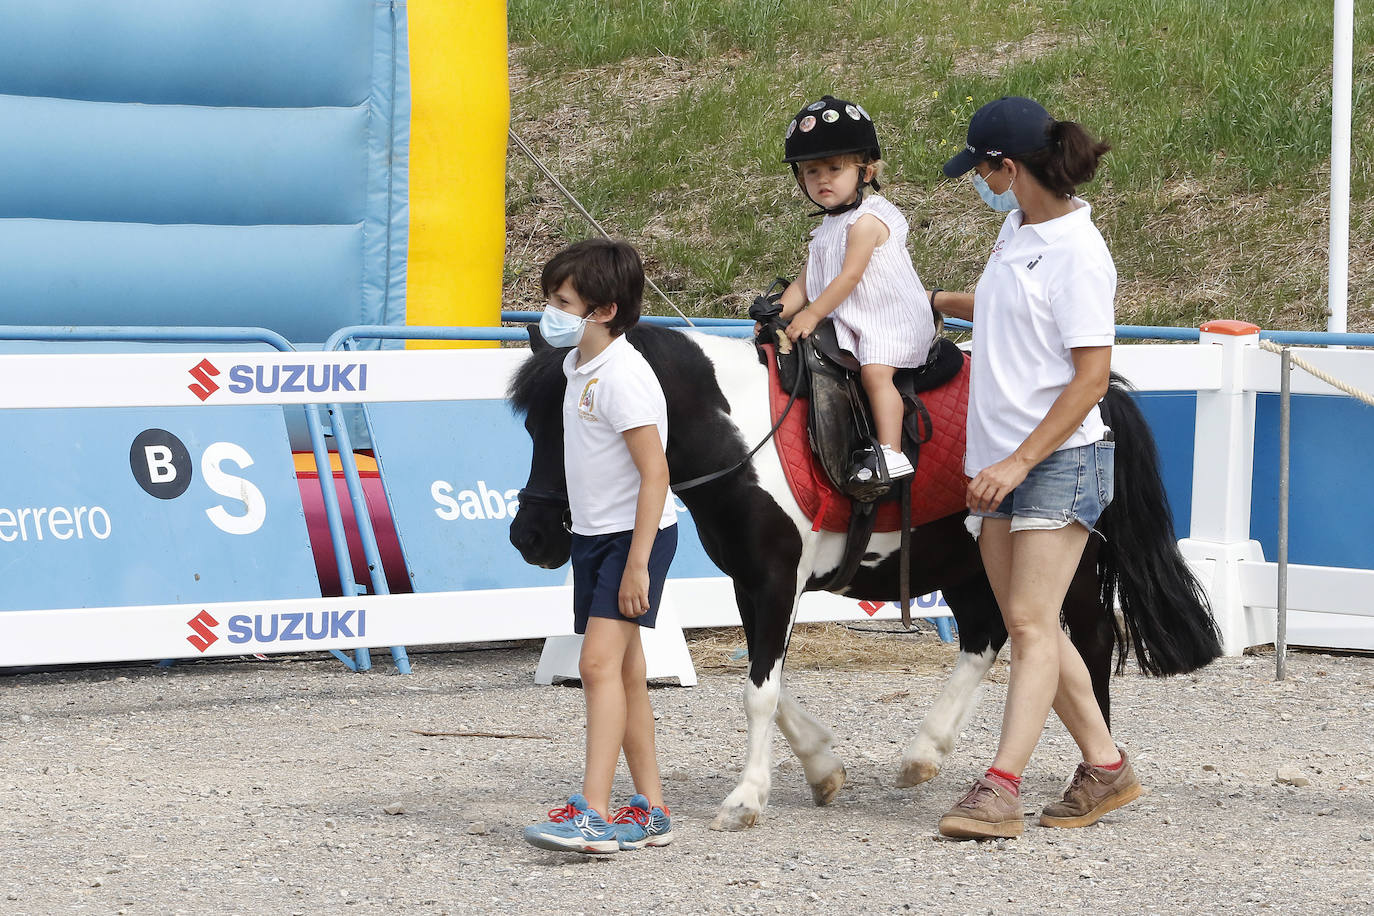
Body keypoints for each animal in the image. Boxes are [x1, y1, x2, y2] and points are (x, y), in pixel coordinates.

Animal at [511, 325, 1220, 834]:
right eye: (531, 425)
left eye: (585, 422)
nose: (531, 537)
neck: (743, 437)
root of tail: (1103, 399)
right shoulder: (754, 582)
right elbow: (770, 683)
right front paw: (822, 766)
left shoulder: (775, 580)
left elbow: (759, 692)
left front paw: (746, 798)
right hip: (969, 564)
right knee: (987, 639)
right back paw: (925, 754)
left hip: (1059, 561)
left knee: (1088, 641)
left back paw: (1090, 771)